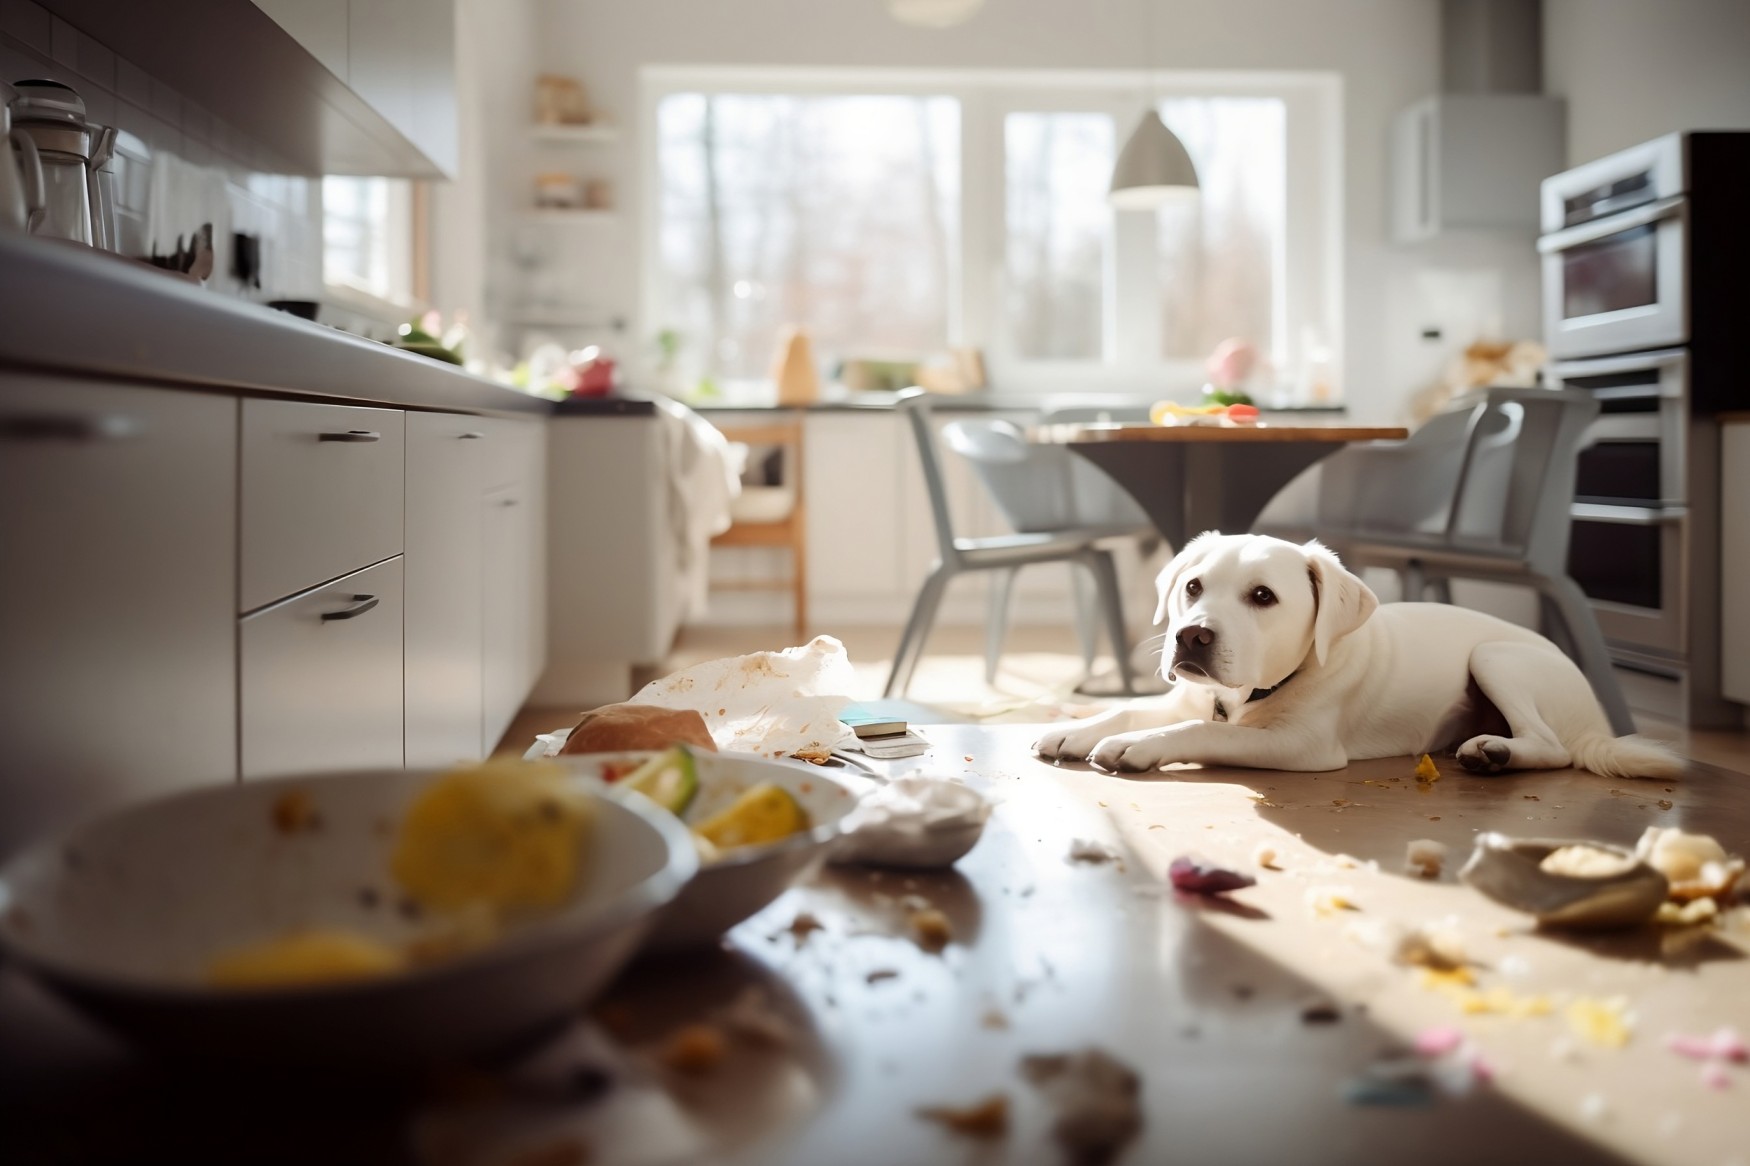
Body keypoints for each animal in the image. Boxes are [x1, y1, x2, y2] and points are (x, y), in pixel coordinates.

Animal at [1036, 532, 1680, 777]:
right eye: (1192, 587)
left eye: (1263, 597)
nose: (1192, 636)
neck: (1244, 696)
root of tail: (1596, 721)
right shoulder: (1188, 697)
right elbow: (1132, 707)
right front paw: (1075, 728)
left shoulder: (1300, 746)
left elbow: (1201, 731)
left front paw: (1136, 746)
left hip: (1496, 656)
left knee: (1553, 749)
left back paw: (1494, 752)